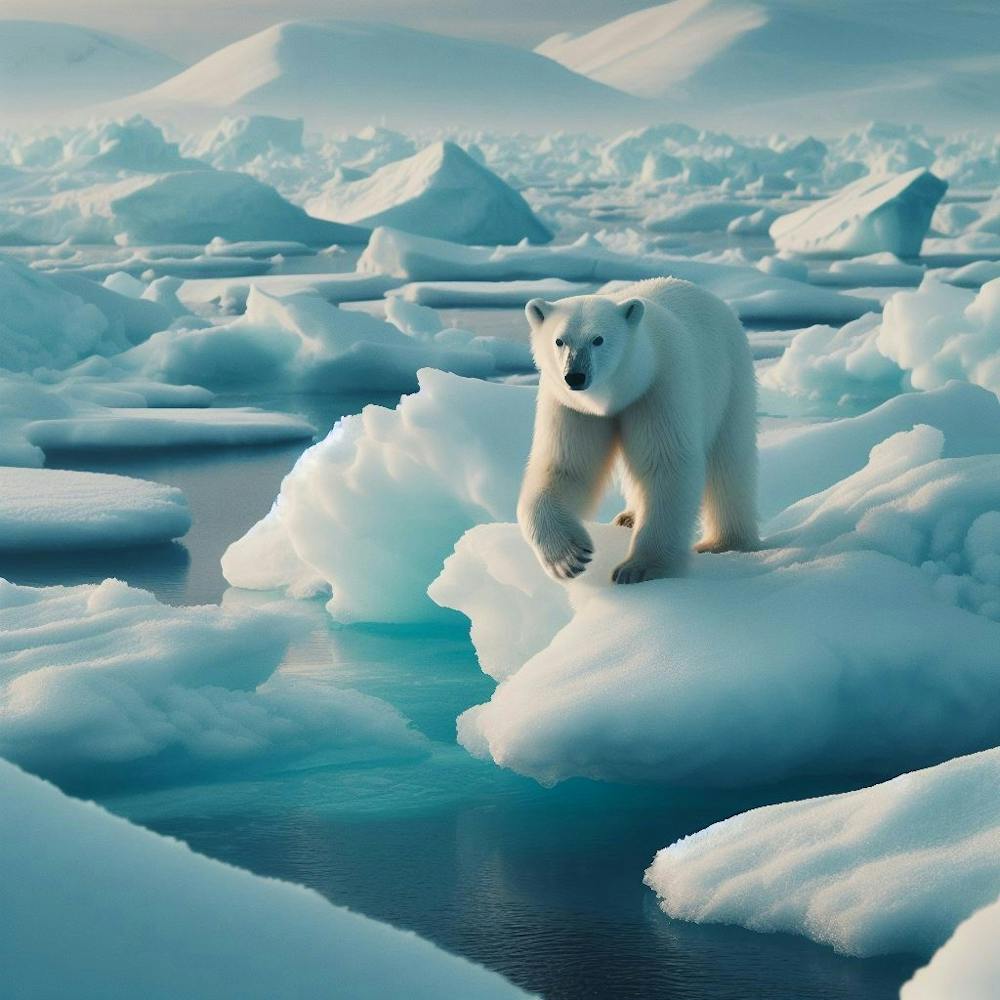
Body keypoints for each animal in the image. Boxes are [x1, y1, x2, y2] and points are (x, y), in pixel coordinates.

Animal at [517, 276, 759, 585]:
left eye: (598, 339)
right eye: (559, 340)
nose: (575, 376)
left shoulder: (658, 389)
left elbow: (666, 465)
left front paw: (637, 568)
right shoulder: (572, 408)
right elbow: (565, 468)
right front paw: (570, 558)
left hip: (730, 380)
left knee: (729, 461)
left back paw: (725, 542)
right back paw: (628, 517)